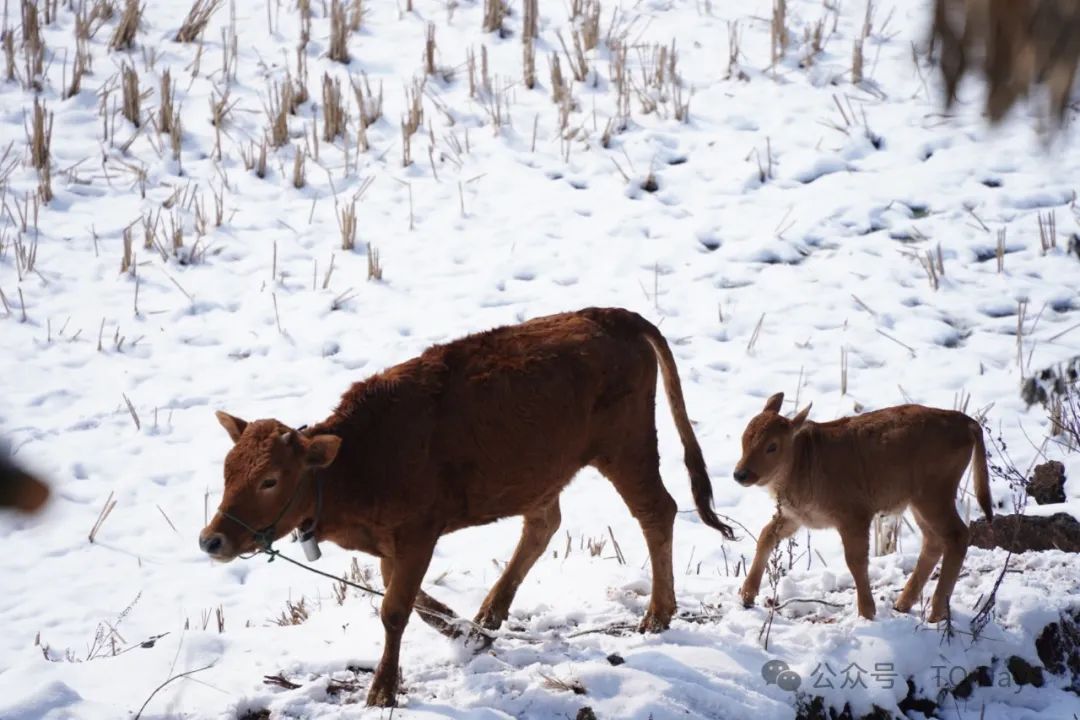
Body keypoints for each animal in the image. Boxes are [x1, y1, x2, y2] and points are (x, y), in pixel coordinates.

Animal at [198, 306, 734, 708]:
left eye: (270, 479)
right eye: (226, 471)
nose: (211, 540)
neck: (357, 457)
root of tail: (610, 316)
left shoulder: (418, 534)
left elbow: (394, 609)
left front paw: (381, 692)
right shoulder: (392, 543)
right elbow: (407, 599)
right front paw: (467, 635)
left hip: (625, 447)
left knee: (656, 510)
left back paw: (657, 615)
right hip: (549, 471)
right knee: (543, 524)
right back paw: (489, 615)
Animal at [730, 390, 989, 621]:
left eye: (772, 446)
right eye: (743, 438)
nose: (740, 474)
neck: (804, 458)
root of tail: (967, 422)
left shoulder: (854, 517)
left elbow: (855, 560)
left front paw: (867, 612)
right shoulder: (794, 517)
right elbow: (766, 536)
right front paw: (747, 595)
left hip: (934, 497)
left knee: (957, 535)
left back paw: (936, 614)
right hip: (919, 504)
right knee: (933, 540)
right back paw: (902, 604)